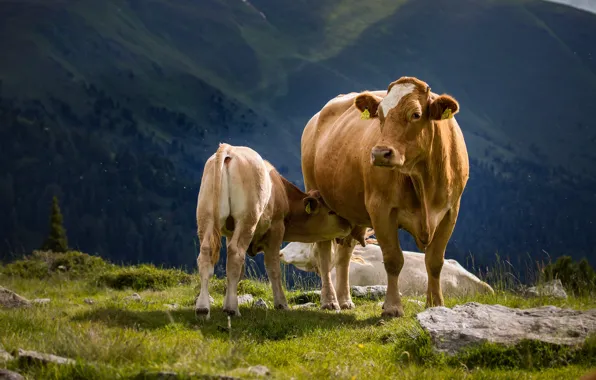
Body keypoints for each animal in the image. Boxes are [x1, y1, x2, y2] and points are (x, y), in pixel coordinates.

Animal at [196, 142, 356, 318]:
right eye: (331, 211)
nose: (349, 225)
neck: (283, 192)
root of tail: (229, 148)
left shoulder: (230, 233)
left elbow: (238, 272)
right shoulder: (276, 228)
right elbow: (273, 268)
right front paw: (281, 303)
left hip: (206, 216)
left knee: (206, 253)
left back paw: (203, 308)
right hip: (247, 219)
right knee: (236, 253)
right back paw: (232, 309)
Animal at [302, 75, 470, 316]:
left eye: (416, 114)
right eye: (380, 115)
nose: (380, 153)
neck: (423, 181)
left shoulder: (450, 211)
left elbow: (435, 261)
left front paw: (436, 304)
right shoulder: (381, 209)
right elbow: (393, 260)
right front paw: (392, 307)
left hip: (350, 211)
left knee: (344, 254)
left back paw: (345, 299)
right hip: (317, 197)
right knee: (324, 253)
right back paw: (330, 301)